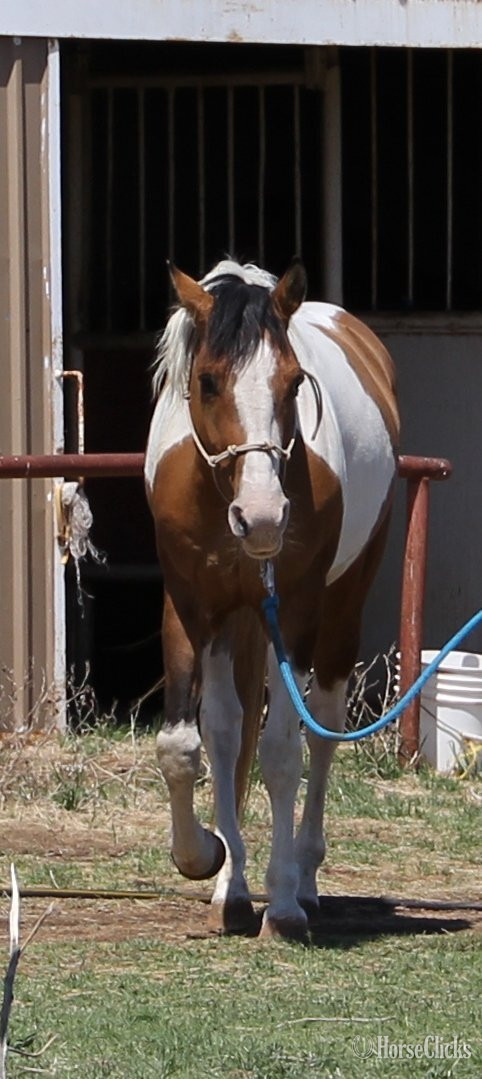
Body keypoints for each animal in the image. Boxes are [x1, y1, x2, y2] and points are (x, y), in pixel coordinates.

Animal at [145, 258, 399, 939]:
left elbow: (284, 749)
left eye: (293, 383)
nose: (261, 518)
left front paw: (281, 905)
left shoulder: (300, 606)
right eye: (207, 382)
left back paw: (303, 882)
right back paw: (232, 884)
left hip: (340, 606)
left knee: (324, 731)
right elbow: (192, 744)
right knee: (233, 734)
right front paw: (208, 861)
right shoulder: (192, 605)